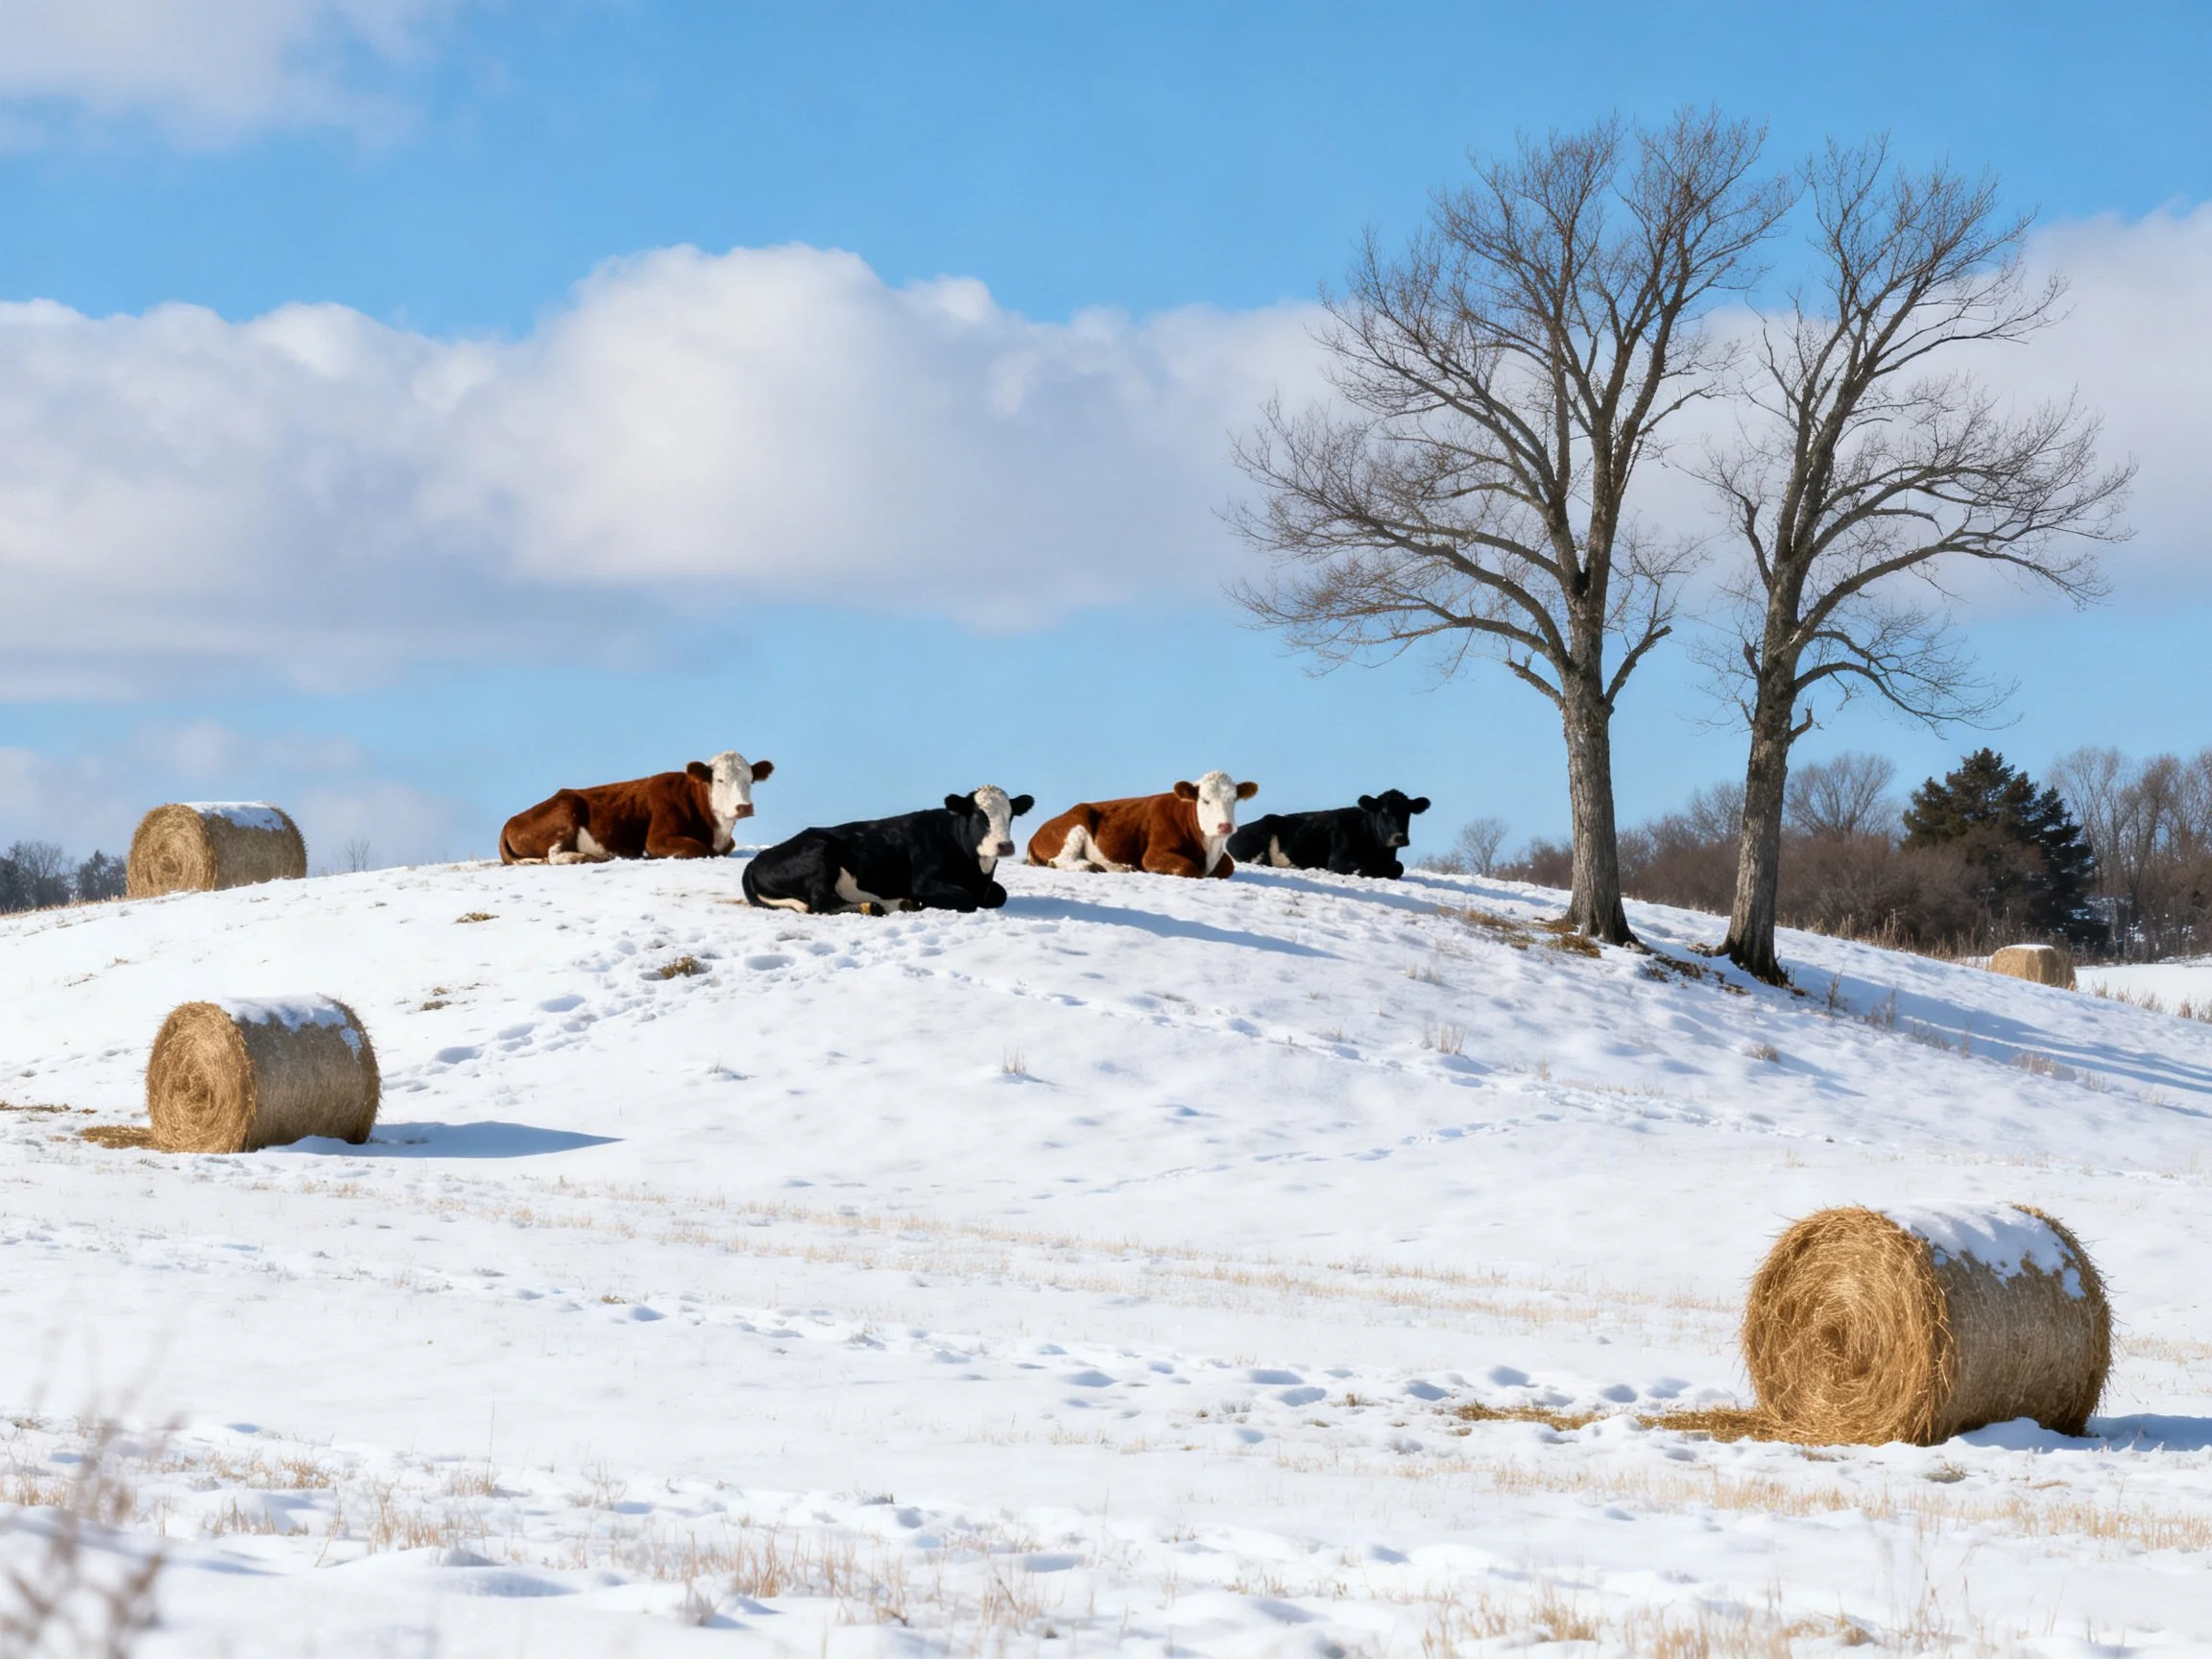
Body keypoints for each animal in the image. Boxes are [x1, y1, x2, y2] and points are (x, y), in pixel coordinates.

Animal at [499, 752, 774, 865]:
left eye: (750, 779)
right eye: (720, 780)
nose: (743, 807)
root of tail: (510, 821)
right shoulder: (657, 838)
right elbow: (698, 848)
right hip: (566, 810)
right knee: (555, 855)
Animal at [741, 787, 1035, 914]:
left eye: (1010, 815)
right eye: (978, 815)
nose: (1004, 845)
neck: (976, 873)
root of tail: (756, 861)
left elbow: (999, 894)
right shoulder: (923, 882)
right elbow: (967, 899)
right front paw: (917, 903)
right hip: (820, 856)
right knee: (822, 902)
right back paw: (877, 905)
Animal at [1025, 771, 1258, 879]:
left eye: (1234, 799)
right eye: (1205, 800)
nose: (1225, 826)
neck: (1208, 849)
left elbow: (1228, 866)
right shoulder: (1153, 853)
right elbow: (1188, 867)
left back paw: (1120, 867)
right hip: (1076, 824)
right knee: (1060, 859)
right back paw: (1088, 866)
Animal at [1227, 789, 1432, 879]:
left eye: (1407, 812)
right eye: (1383, 811)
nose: (1399, 837)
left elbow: (1399, 868)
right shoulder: (1338, 860)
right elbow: (1363, 869)